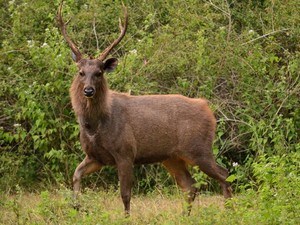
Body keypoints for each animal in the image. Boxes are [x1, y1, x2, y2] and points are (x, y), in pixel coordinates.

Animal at [57, 1, 233, 216]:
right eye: (81, 72)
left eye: (99, 73)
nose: (88, 90)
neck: (96, 125)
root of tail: (207, 108)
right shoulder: (95, 156)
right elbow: (76, 174)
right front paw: (76, 207)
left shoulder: (125, 152)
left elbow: (125, 194)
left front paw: (126, 218)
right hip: (172, 157)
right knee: (190, 185)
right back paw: (185, 215)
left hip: (199, 148)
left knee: (224, 174)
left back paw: (229, 211)